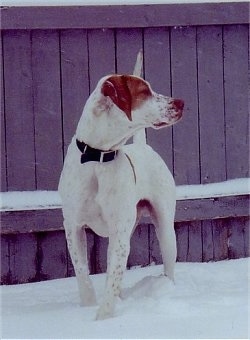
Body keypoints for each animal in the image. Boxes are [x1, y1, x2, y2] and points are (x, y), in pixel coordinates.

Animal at [58, 51, 184, 320]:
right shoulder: (73, 227)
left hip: (165, 230)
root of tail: (143, 146)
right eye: (144, 91)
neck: (98, 158)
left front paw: (103, 319)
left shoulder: (119, 231)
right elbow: (83, 274)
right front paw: (89, 309)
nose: (180, 103)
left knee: (168, 266)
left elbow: (112, 276)